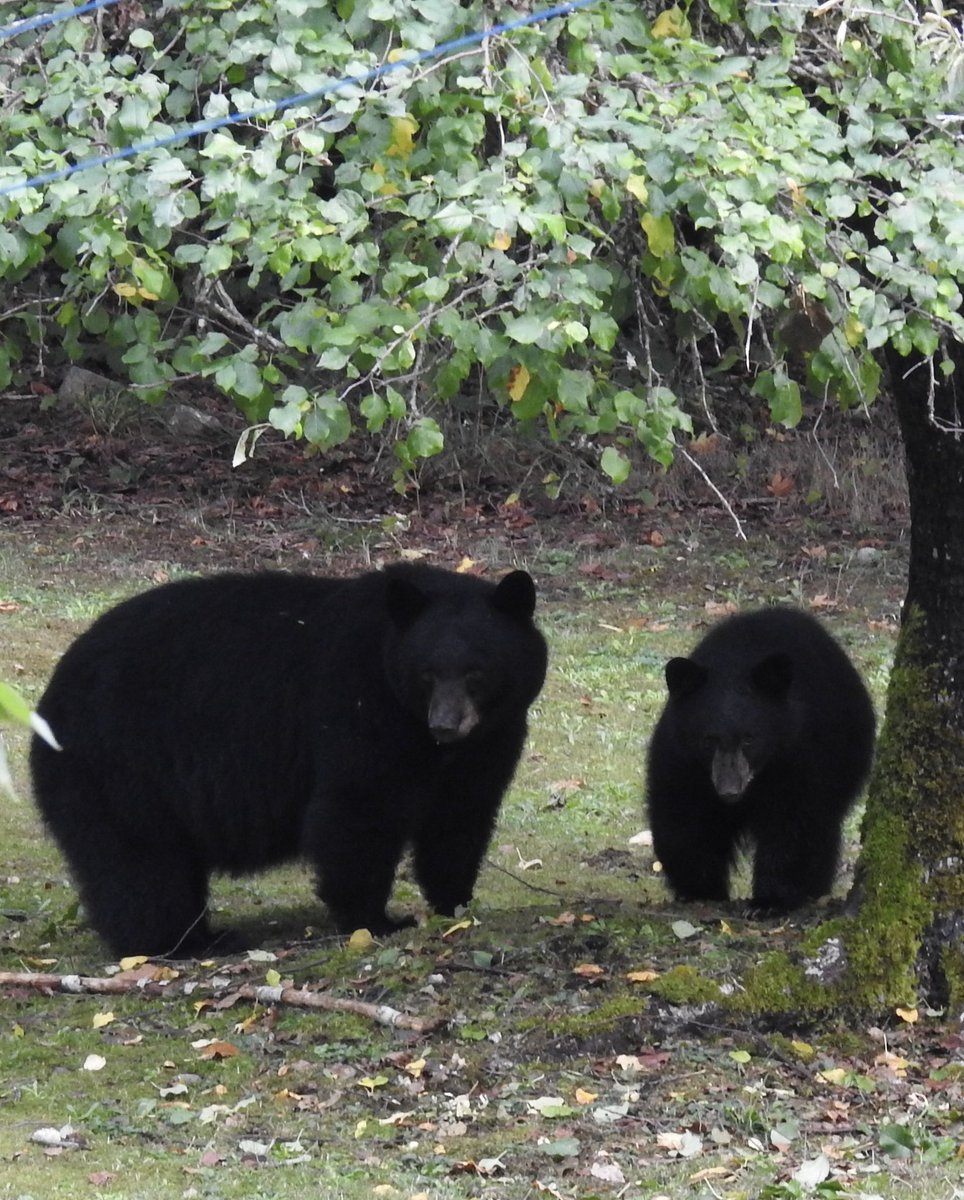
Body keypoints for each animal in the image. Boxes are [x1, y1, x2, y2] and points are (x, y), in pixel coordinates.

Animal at [29, 563, 548, 957]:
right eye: (426, 673)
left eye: (476, 673)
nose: (445, 725)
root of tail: (48, 699)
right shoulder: (359, 707)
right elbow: (357, 810)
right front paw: (375, 920)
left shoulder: (491, 740)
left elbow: (460, 819)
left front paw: (455, 904)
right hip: (121, 765)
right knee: (141, 864)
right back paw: (182, 944)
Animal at [644, 606, 875, 913]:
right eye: (708, 740)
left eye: (749, 738)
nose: (729, 790)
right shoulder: (681, 757)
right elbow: (680, 819)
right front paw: (700, 888)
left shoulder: (800, 754)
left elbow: (791, 825)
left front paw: (769, 900)